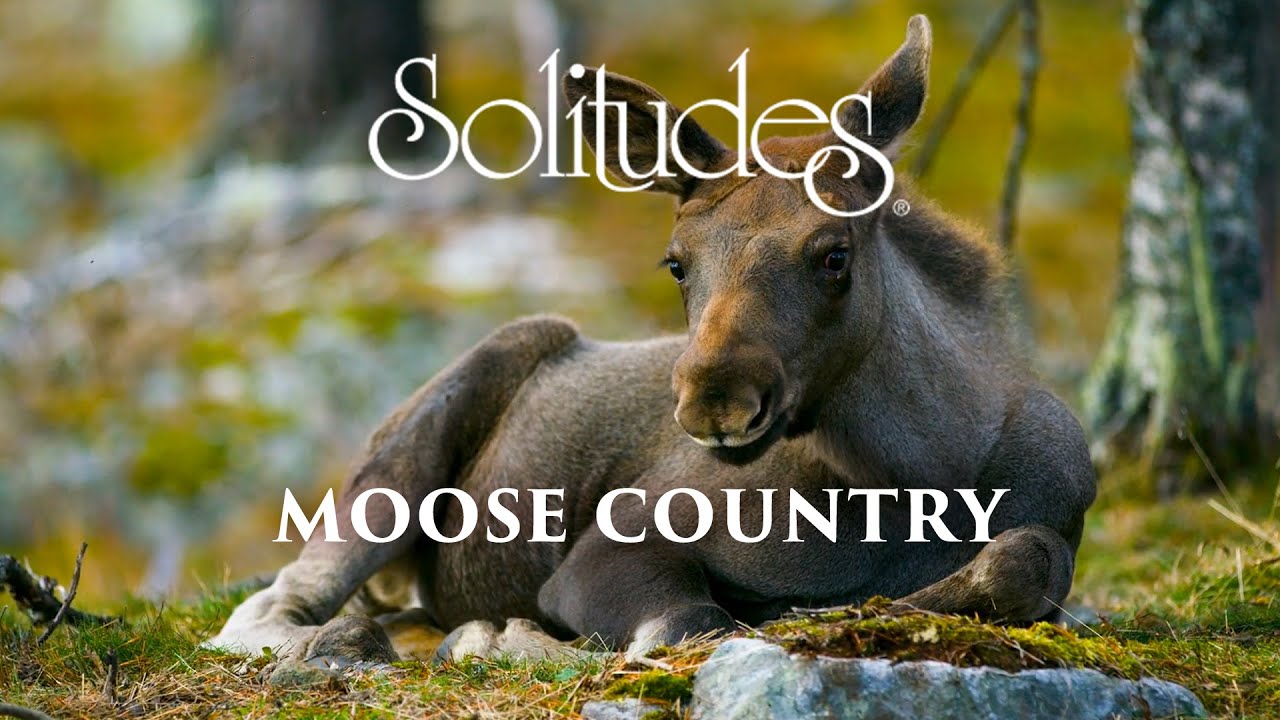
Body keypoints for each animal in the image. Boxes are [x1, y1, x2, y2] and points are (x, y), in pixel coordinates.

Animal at [206, 15, 1096, 665]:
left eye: (833, 253)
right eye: (676, 261)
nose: (717, 401)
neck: (914, 482)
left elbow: (1024, 557)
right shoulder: (610, 547)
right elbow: (693, 622)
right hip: (404, 457)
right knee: (273, 603)